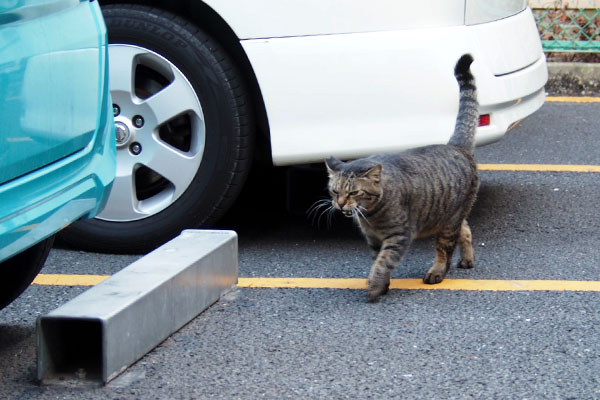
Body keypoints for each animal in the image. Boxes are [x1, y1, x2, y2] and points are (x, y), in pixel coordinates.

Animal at [326, 54, 480, 304]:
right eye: (334, 191)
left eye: (354, 192)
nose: (339, 204)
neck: (371, 217)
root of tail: (455, 146)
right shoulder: (373, 240)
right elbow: (378, 261)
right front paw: (383, 285)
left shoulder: (398, 236)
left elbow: (382, 263)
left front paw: (375, 287)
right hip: (448, 214)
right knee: (465, 229)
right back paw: (467, 259)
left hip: (448, 222)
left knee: (444, 251)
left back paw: (437, 272)